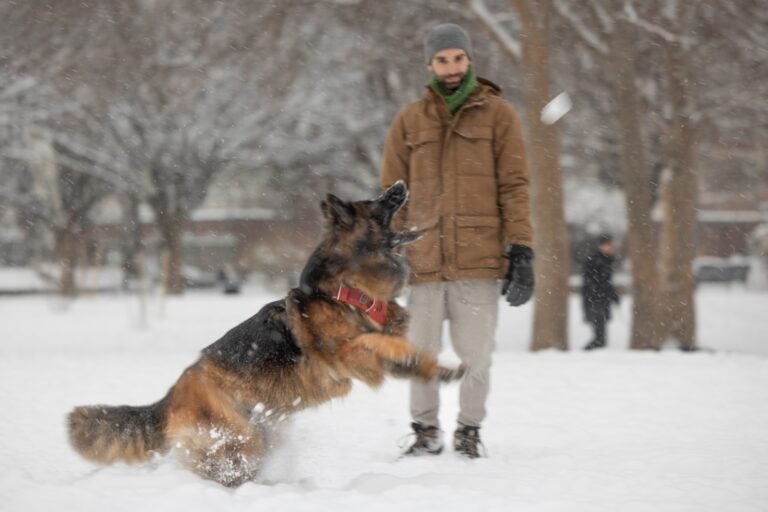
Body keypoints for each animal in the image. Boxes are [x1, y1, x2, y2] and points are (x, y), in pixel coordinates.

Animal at [67, 182, 462, 486]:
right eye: (375, 204)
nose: (399, 185)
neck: (349, 288)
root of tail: (170, 396)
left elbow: (404, 350)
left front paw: (439, 369)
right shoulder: (345, 354)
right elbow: (380, 341)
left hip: (260, 430)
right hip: (242, 438)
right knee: (224, 469)